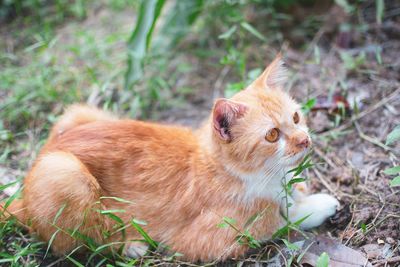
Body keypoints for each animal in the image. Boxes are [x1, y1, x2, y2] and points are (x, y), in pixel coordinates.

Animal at [2, 54, 340, 262]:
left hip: (80, 113)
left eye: (296, 117)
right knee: (84, 243)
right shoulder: (209, 240)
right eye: (272, 135)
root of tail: (25, 188)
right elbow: (278, 221)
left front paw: (302, 194)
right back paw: (131, 245)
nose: (304, 139)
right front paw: (317, 206)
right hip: (64, 173)